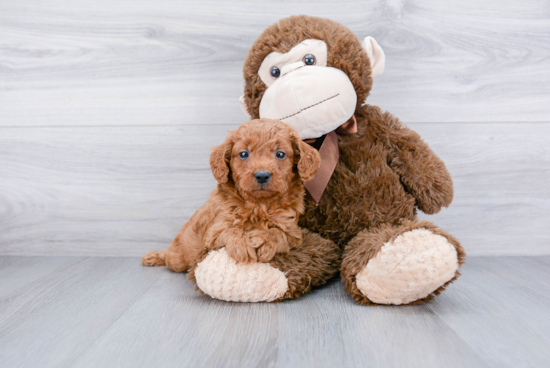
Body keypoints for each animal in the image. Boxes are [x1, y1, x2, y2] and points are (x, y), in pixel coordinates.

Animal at [141, 118, 324, 274]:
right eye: (243, 154)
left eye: (280, 154)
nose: (262, 175)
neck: (259, 205)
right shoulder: (214, 232)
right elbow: (230, 229)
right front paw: (242, 244)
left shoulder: (293, 232)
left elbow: (280, 234)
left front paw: (265, 239)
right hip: (178, 258)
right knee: (169, 258)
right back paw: (155, 256)